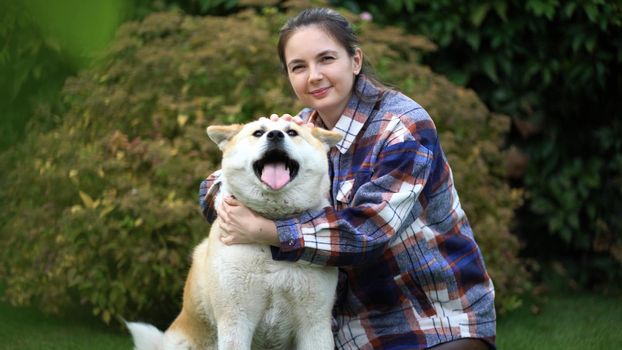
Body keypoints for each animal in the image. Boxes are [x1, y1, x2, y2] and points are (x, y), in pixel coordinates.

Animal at [125, 118, 344, 350]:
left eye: (292, 132)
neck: (272, 229)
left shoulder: (314, 325)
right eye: (258, 133)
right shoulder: (235, 319)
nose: (275, 135)